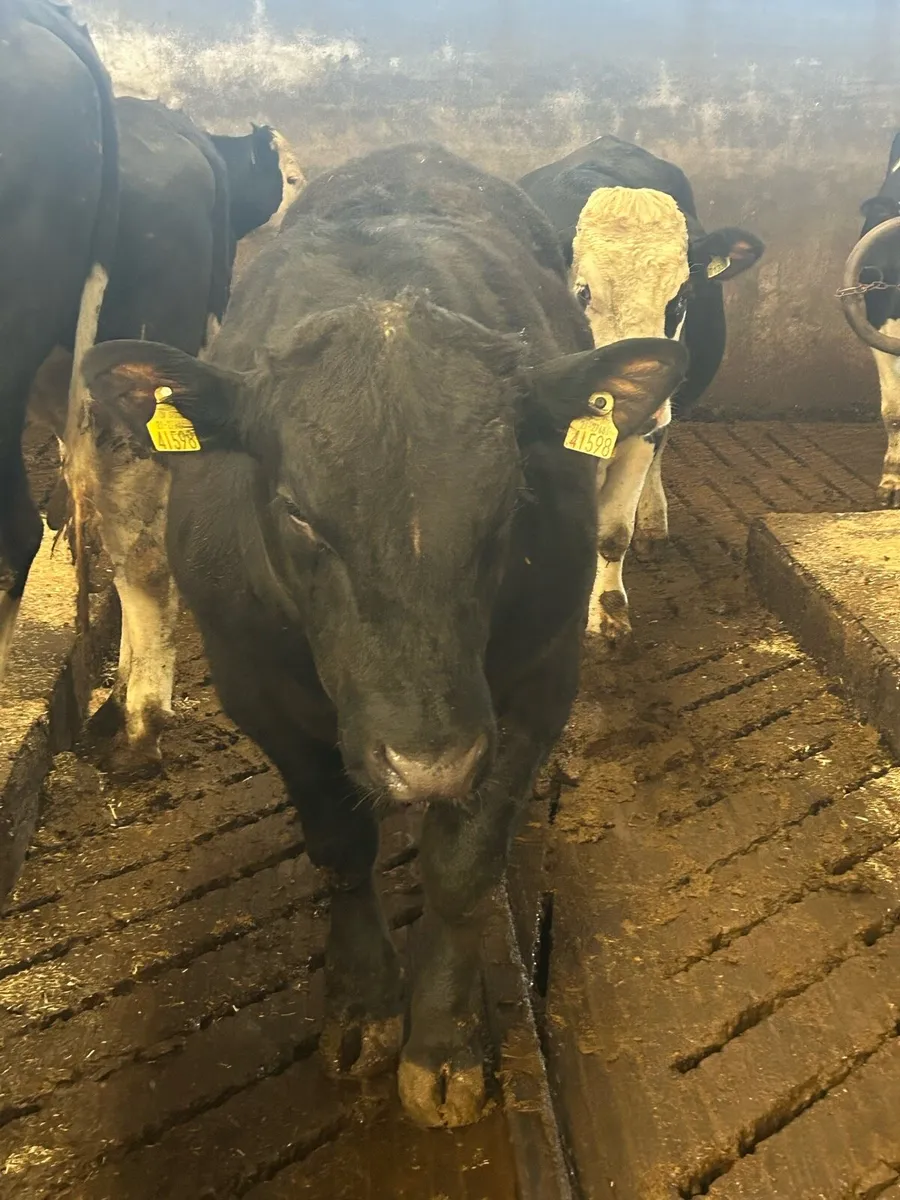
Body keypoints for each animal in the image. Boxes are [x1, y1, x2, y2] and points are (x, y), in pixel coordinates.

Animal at [80, 143, 687, 1126]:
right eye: (297, 512)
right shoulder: (258, 688)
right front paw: (362, 1003)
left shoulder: (537, 680)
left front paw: (444, 1039)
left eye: (507, 500)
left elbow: (462, 868)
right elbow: (340, 846)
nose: (427, 762)